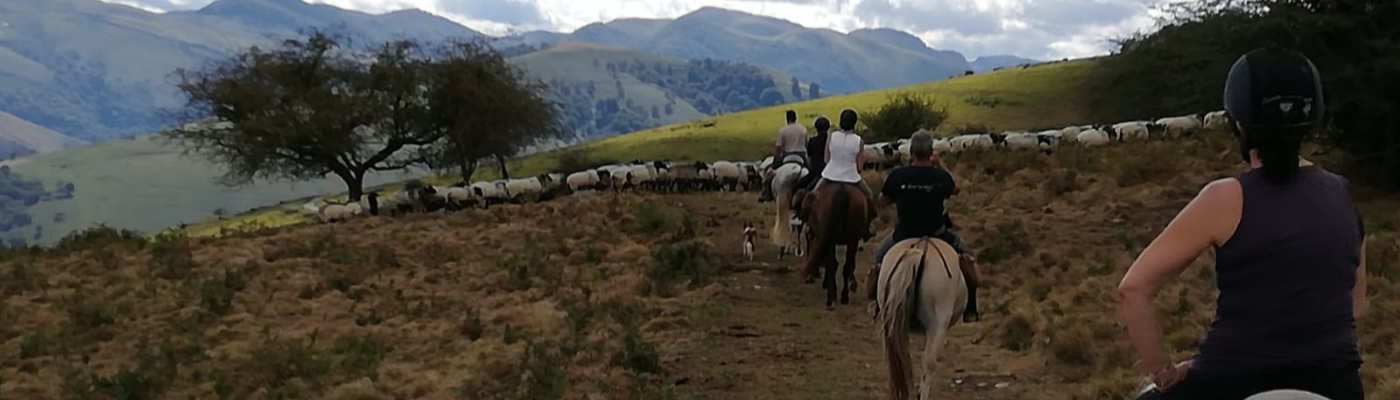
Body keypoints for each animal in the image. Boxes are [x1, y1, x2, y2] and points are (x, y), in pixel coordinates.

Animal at [795, 181, 868, 309]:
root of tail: (842, 191)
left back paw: (832, 297)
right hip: (851, 239)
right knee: (845, 266)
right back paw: (843, 297)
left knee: (833, 264)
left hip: (831, 239)